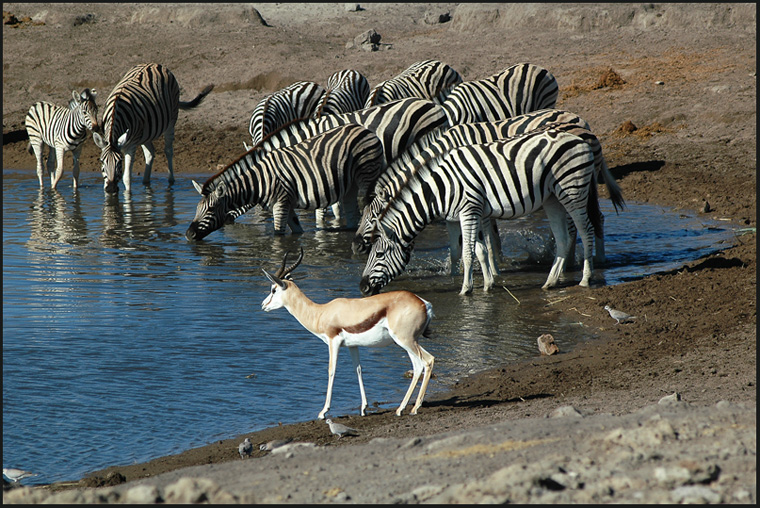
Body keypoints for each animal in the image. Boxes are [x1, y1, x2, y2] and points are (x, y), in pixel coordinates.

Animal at [94, 62, 215, 192]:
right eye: (101, 161)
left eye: (120, 162)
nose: (111, 189)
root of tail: (154, 64)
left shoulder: (131, 145)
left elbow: (127, 177)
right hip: (145, 132)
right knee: (150, 153)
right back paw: (146, 182)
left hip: (171, 120)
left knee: (168, 150)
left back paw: (170, 180)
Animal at [185, 124, 386, 241]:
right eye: (197, 209)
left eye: (211, 209)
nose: (188, 235)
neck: (259, 181)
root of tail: (367, 130)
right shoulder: (287, 203)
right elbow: (297, 231)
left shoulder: (280, 203)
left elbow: (278, 236)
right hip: (350, 185)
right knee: (352, 213)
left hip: (367, 174)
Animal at [358, 128, 604, 298]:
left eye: (379, 254)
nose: (362, 288)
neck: (441, 189)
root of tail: (579, 139)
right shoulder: (473, 214)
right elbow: (481, 250)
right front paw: (488, 284)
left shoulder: (469, 210)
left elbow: (468, 253)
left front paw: (466, 289)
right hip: (552, 198)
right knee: (563, 238)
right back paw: (550, 282)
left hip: (572, 190)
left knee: (586, 230)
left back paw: (585, 278)